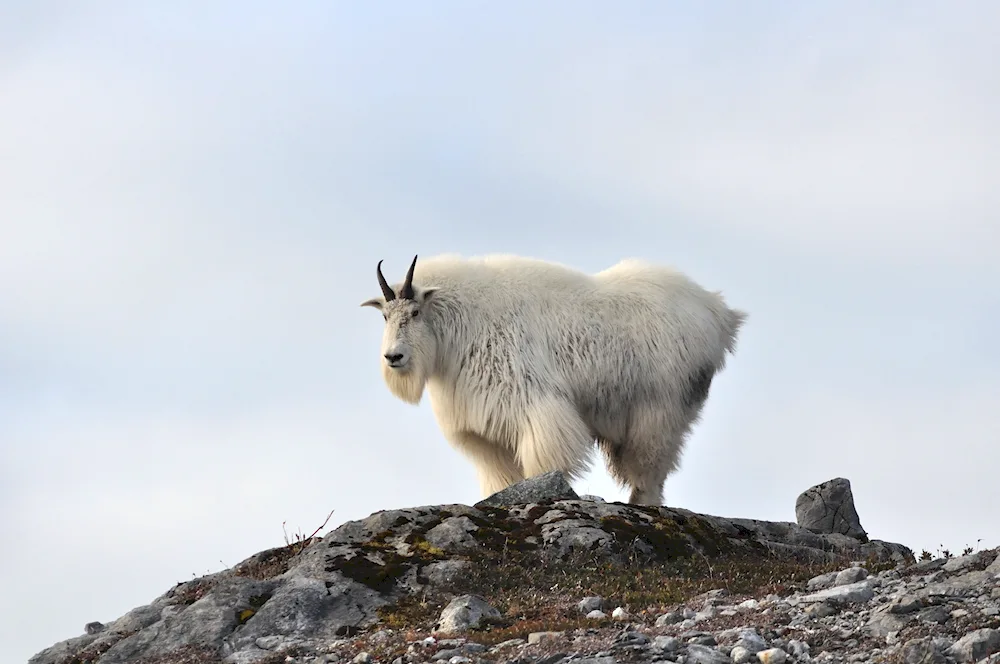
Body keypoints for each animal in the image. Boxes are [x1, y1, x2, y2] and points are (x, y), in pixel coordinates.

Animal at [360, 253, 744, 504]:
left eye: (414, 312)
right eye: (384, 317)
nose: (393, 357)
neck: (460, 323)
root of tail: (720, 314)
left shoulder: (533, 403)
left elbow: (543, 460)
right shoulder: (483, 428)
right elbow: (500, 477)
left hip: (660, 407)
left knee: (651, 466)